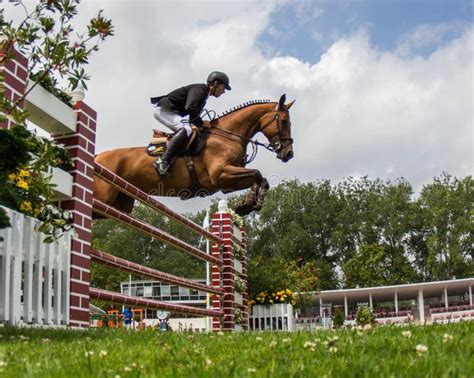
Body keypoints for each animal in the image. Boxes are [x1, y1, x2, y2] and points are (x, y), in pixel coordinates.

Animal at [92, 93, 292, 217]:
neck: (228, 135)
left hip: (119, 204)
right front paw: (250, 203)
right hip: (103, 196)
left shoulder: (226, 184)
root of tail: (97, 157)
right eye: (284, 121)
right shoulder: (221, 174)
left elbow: (260, 179)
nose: (289, 153)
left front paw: (247, 205)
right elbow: (257, 174)